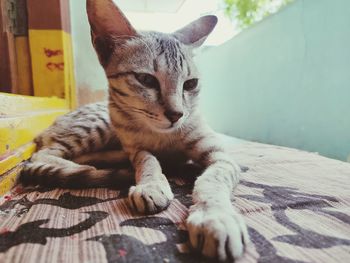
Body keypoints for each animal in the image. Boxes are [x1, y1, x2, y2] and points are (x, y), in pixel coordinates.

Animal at [19, 0, 249, 260]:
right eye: (146, 80)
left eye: (190, 84)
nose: (177, 114)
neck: (163, 138)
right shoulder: (137, 148)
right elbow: (147, 161)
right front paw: (151, 183)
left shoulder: (221, 157)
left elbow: (212, 180)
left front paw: (215, 216)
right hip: (99, 124)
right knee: (42, 155)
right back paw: (89, 168)